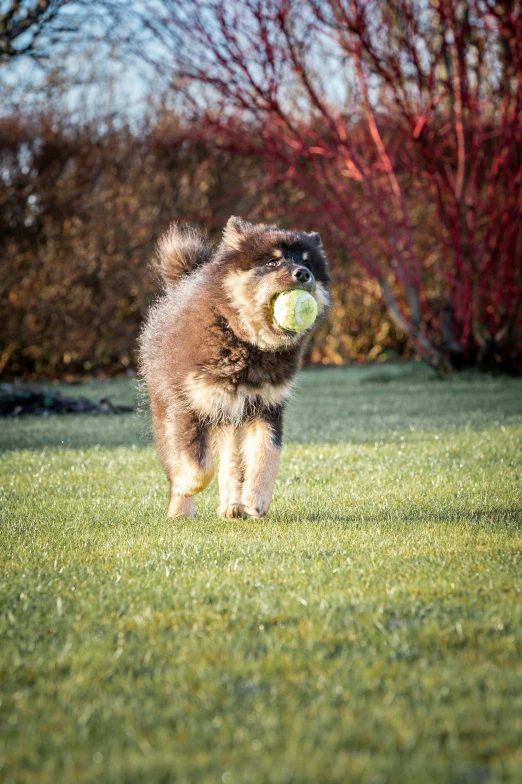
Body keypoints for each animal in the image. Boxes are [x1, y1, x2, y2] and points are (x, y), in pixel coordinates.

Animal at [138, 217, 330, 516]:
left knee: (231, 460)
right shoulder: (188, 406)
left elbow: (266, 454)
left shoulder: (266, 406)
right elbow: (197, 465)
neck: (243, 341)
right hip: (172, 406)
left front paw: (256, 499)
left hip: (230, 411)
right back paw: (181, 510)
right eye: (273, 262)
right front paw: (185, 487)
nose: (303, 274)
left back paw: (232, 505)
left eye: (307, 263)